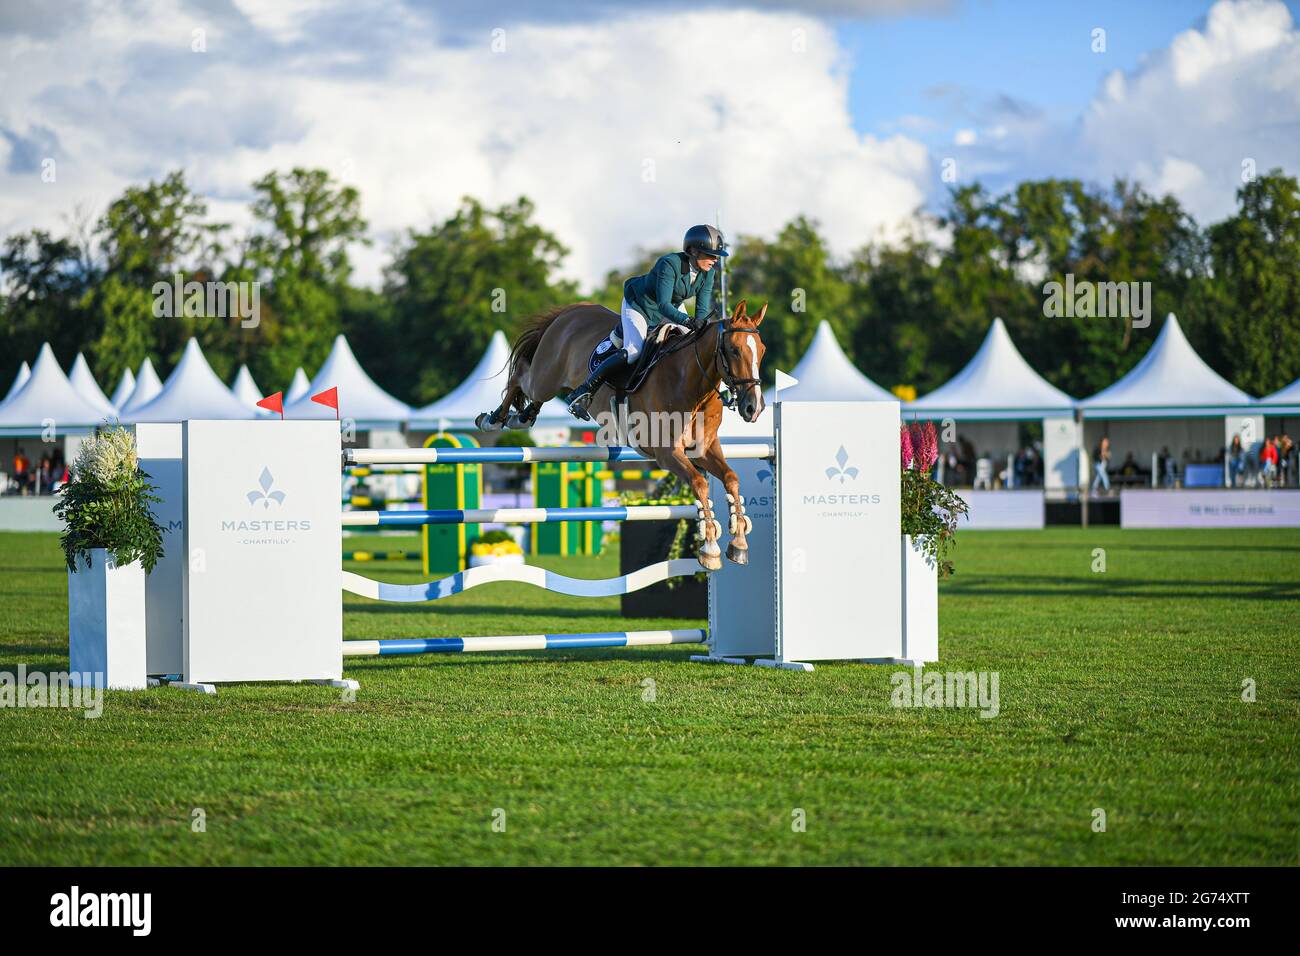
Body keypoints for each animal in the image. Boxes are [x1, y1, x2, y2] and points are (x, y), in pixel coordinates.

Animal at [475, 300, 759, 567]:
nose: (753, 408)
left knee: (530, 398)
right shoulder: (667, 453)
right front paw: (709, 548)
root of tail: (574, 310)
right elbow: (699, 483)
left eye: (762, 350)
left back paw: (521, 417)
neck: (691, 383)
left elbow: (731, 478)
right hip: (545, 379)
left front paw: (739, 543)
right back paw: (492, 419)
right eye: (734, 350)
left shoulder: (703, 450)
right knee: (521, 376)